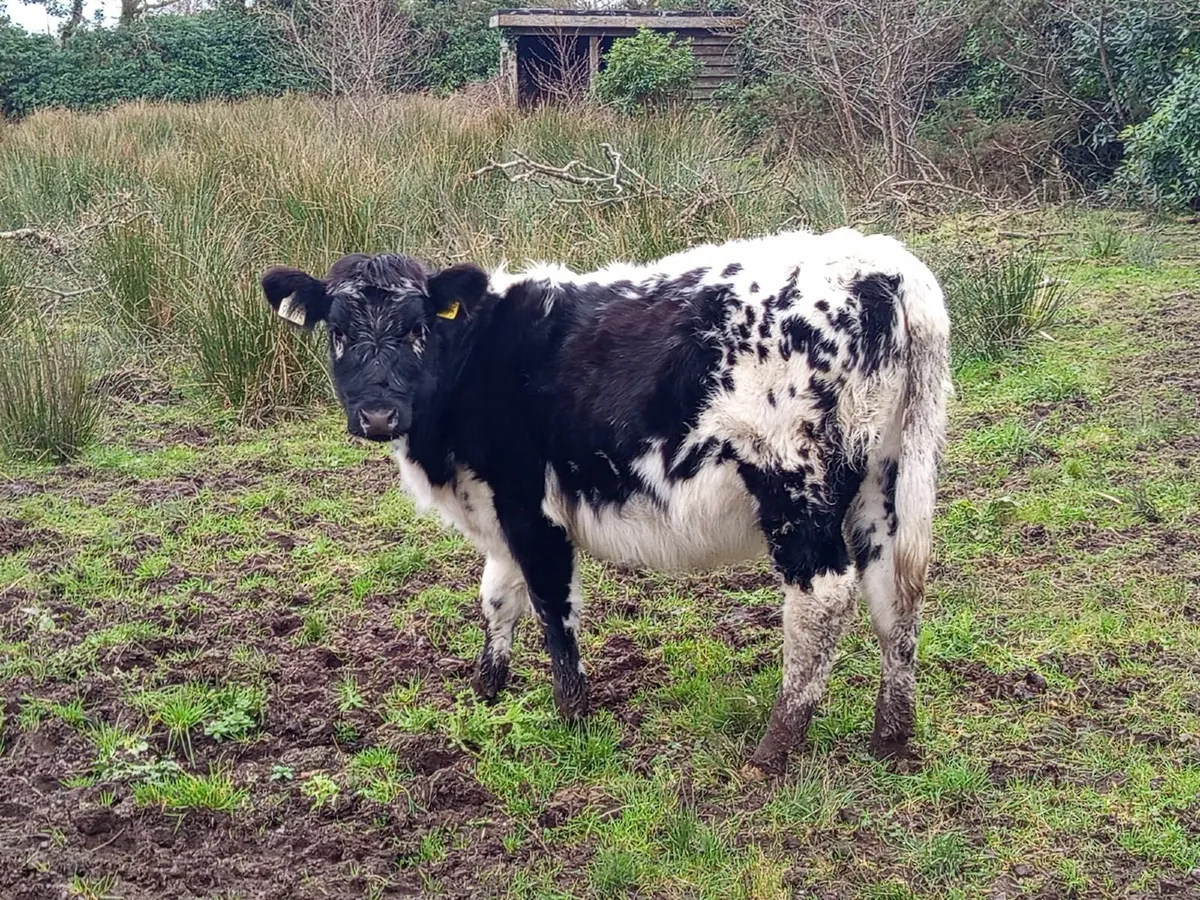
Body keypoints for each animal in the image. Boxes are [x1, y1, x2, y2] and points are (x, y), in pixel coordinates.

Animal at [259, 228, 951, 775]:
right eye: (337, 331)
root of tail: (882, 260)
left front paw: (574, 717)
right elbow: (497, 598)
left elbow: (550, 606)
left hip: (794, 486)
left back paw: (775, 748)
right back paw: (891, 738)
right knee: (895, 596)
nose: (378, 415)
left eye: (417, 329)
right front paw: (486, 692)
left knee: (823, 595)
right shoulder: (498, 511)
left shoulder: (529, 506)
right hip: (883, 487)